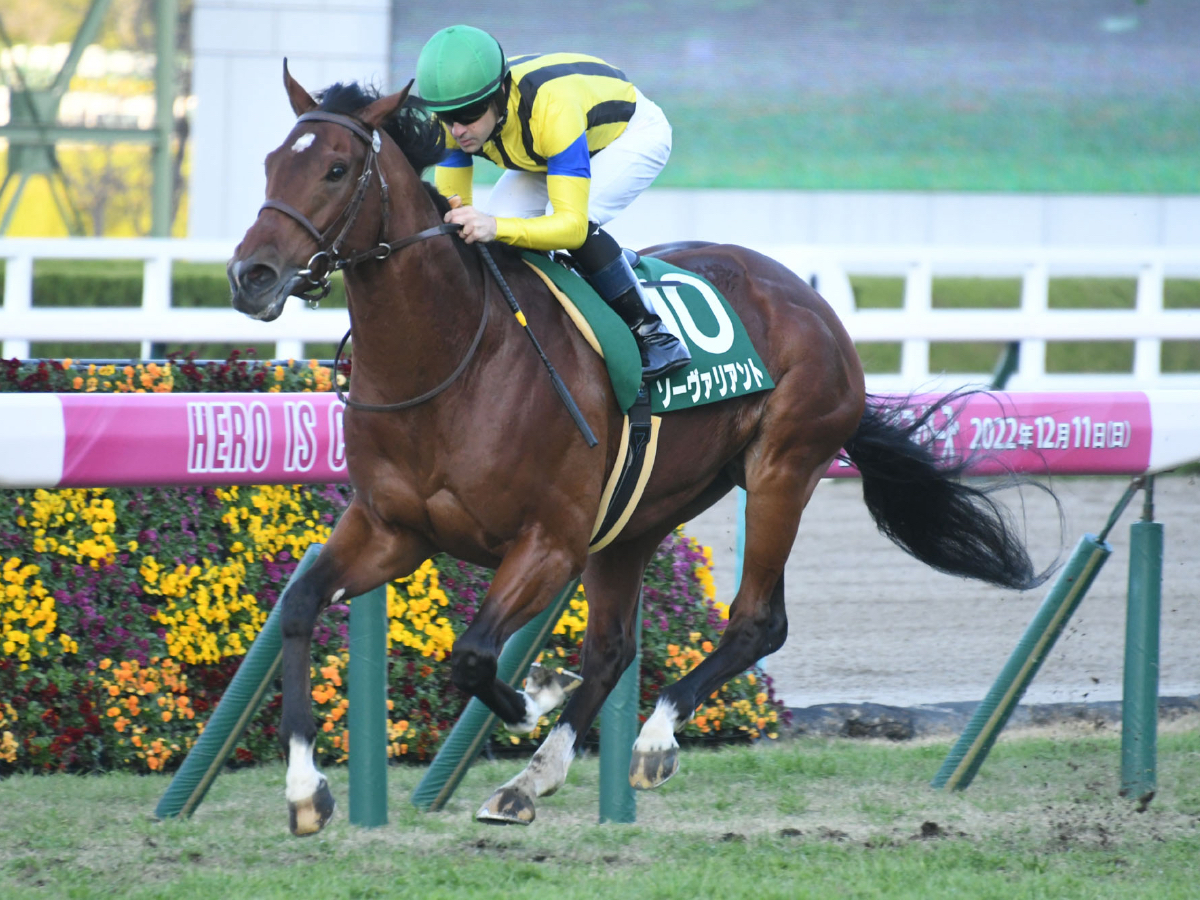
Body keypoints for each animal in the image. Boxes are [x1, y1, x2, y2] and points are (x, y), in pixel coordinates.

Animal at [228, 64, 1049, 834]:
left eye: (337, 168)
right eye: (269, 162)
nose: (250, 276)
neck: (453, 360)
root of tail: (809, 299)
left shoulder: (549, 542)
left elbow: (474, 655)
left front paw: (532, 697)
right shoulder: (393, 530)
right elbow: (298, 606)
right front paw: (305, 790)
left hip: (782, 468)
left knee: (758, 621)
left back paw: (652, 739)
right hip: (638, 515)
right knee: (615, 648)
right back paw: (530, 780)